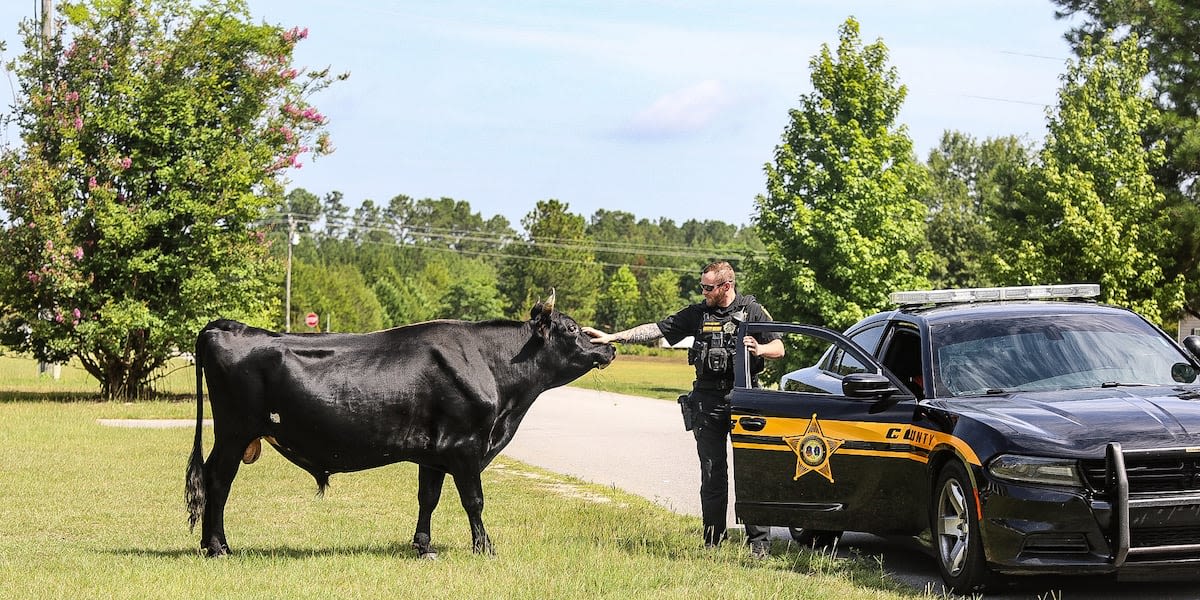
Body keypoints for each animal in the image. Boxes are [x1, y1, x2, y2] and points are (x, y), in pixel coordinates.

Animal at [182, 295, 614, 556]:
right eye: (572, 328)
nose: (609, 347)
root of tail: (228, 326)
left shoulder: (435, 452)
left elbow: (428, 498)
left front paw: (423, 546)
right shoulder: (466, 446)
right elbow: (474, 500)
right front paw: (485, 548)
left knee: (211, 479)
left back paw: (208, 544)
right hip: (234, 432)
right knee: (217, 481)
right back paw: (218, 547)